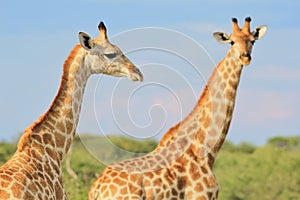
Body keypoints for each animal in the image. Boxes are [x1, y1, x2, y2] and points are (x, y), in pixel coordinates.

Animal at [89, 17, 268, 200]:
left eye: (252, 40)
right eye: (232, 41)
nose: (245, 57)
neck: (205, 152)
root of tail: (97, 188)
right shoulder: (200, 196)